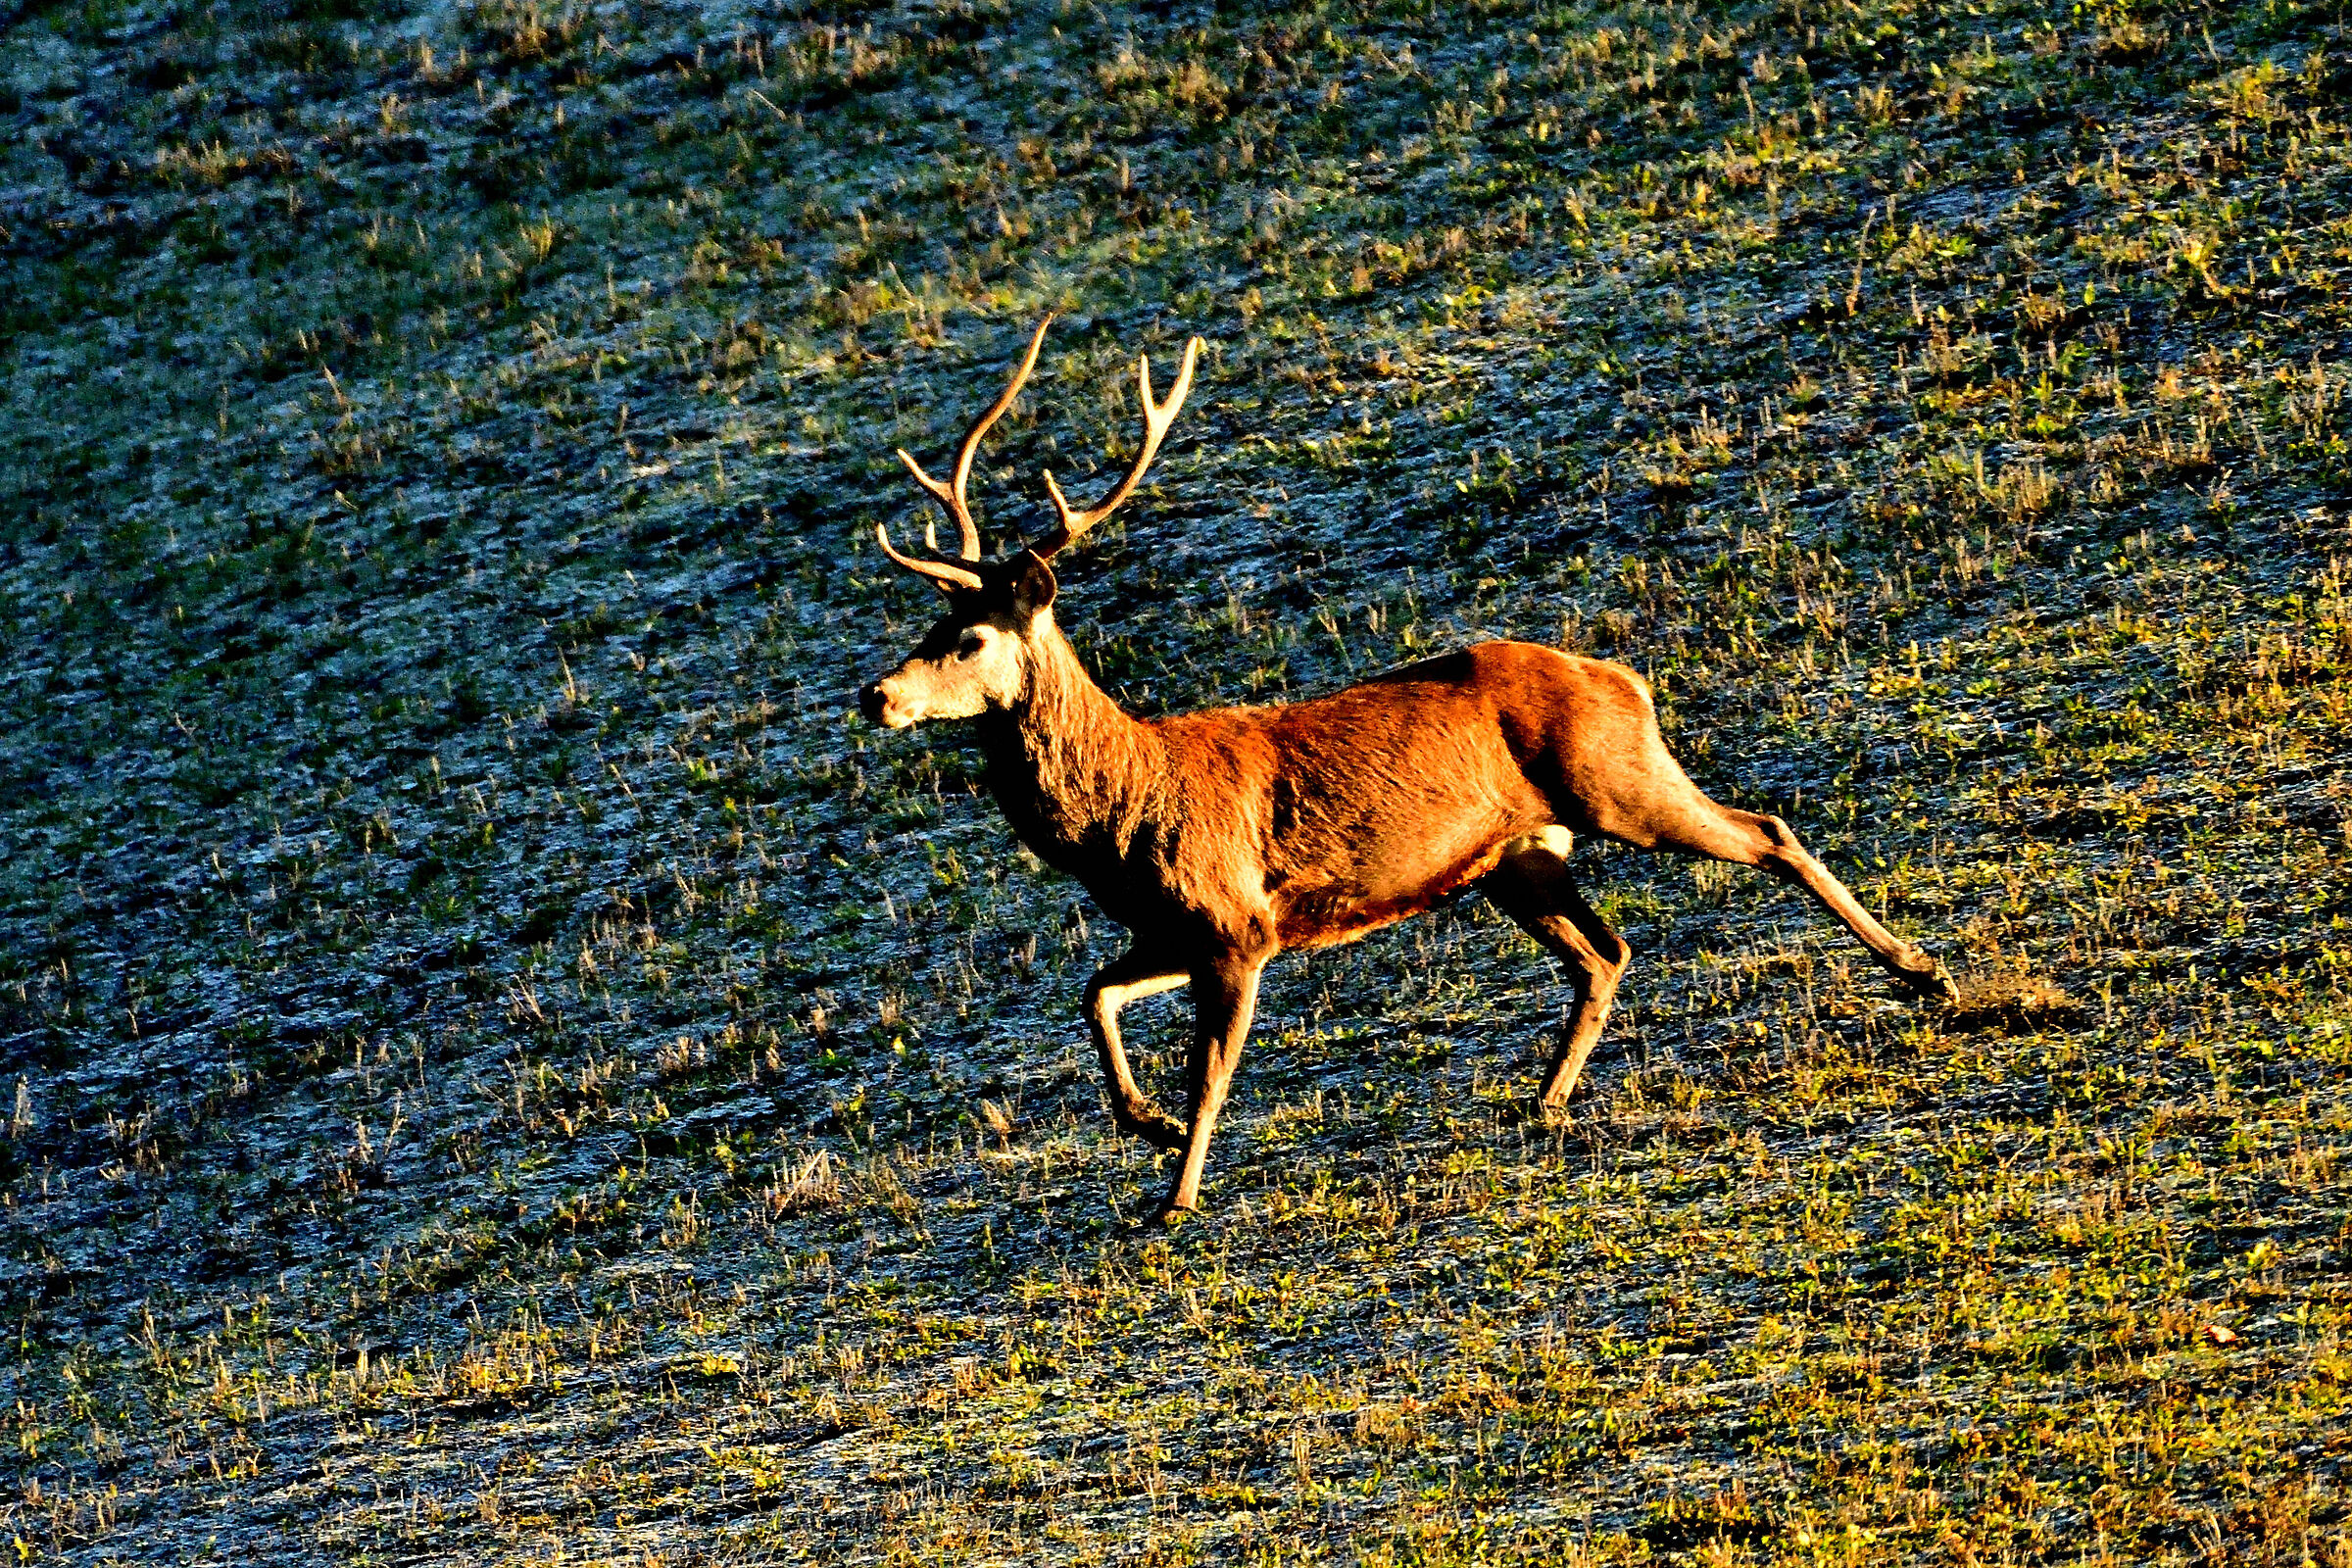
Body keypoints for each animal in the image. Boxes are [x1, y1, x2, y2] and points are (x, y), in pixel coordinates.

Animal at [858, 317, 1957, 1225]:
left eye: (968, 637)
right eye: (926, 627)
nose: (878, 693)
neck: (1121, 820)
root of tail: (1626, 678)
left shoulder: (1237, 924)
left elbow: (1209, 1074)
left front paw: (1174, 1194)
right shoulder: (1182, 927)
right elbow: (1095, 995)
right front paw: (1149, 1130)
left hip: (1618, 783)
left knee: (1765, 833)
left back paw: (1924, 970)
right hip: (1519, 855)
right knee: (1604, 952)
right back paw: (1545, 1100)